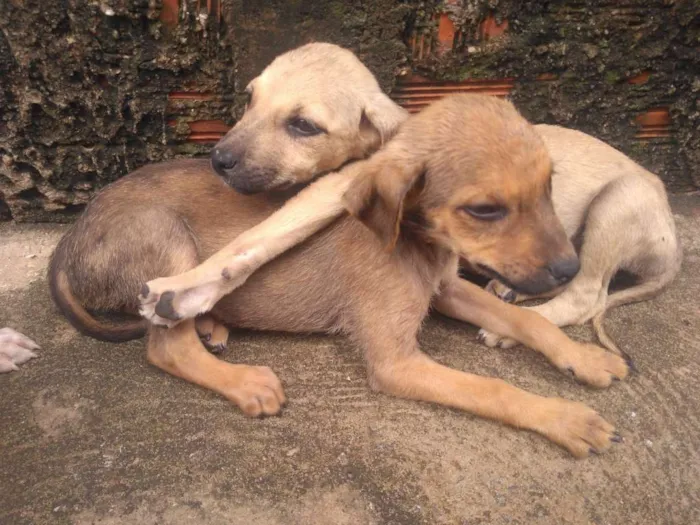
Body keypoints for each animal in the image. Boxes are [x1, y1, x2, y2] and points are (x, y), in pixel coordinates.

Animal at [49, 95, 628, 458]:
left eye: (549, 184)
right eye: (485, 210)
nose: (570, 269)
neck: (413, 241)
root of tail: (70, 239)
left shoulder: (444, 288)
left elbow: (527, 320)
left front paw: (583, 358)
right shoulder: (396, 363)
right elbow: (493, 388)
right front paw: (566, 419)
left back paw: (213, 325)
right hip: (165, 236)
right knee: (166, 344)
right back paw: (243, 380)